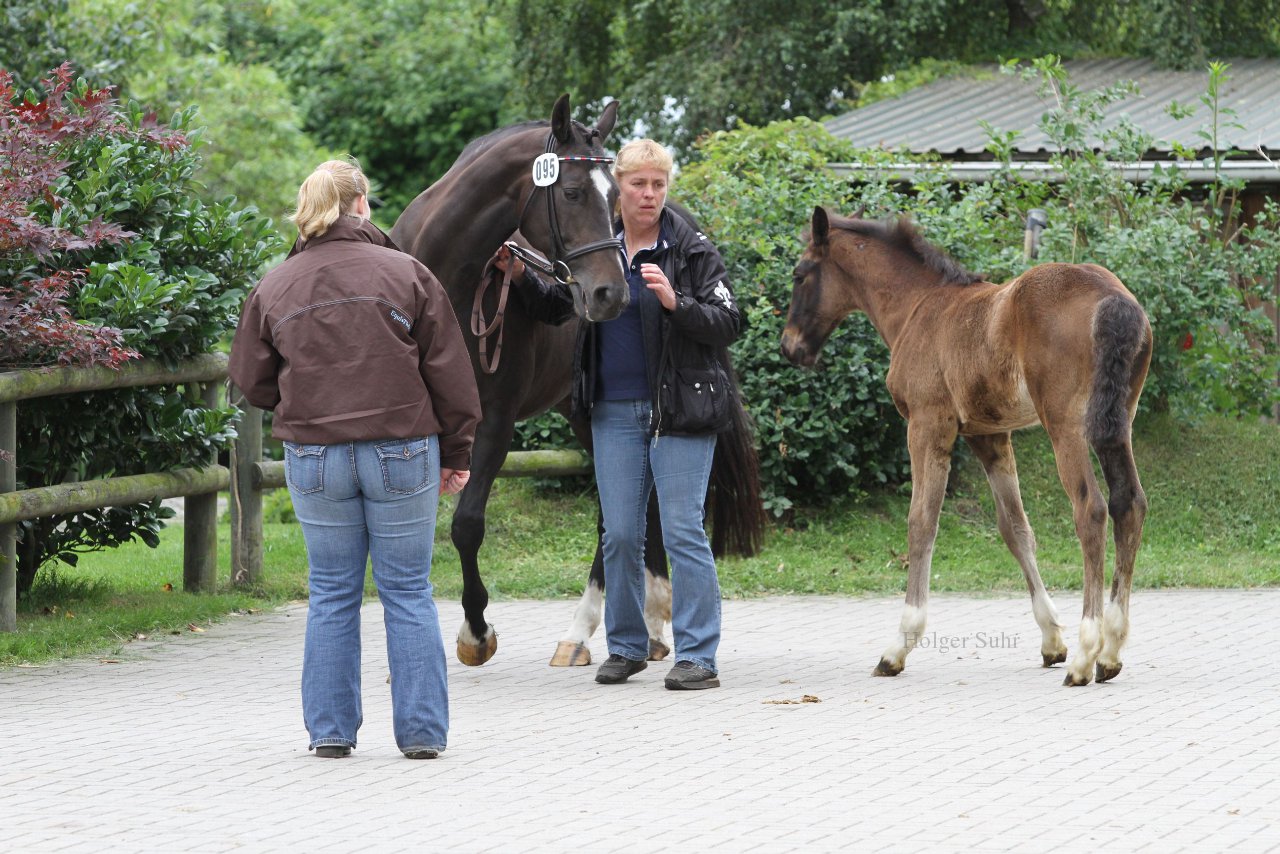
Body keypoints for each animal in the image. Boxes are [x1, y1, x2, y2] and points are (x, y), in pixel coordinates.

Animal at [391, 95, 757, 665]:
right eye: (571, 192)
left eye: (616, 201)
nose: (611, 293)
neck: (449, 285)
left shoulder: (495, 423)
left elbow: (466, 524)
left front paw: (475, 631)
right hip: (587, 412)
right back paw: (651, 619)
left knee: (619, 513)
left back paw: (591, 627)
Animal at [778, 208, 1152, 686]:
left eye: (799, 274)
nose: (790, 347)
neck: (918, 305)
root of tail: (1113, 297)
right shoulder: (987, 435)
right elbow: (1015, 529)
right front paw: (1051, 640)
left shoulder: (927, 425)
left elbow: (921, 522)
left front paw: (898, 647)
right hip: (1119, 420)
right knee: (1129, 503)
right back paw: (1110, 652)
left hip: (1065, 425)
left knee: (1091, 509)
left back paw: (1087, 656)